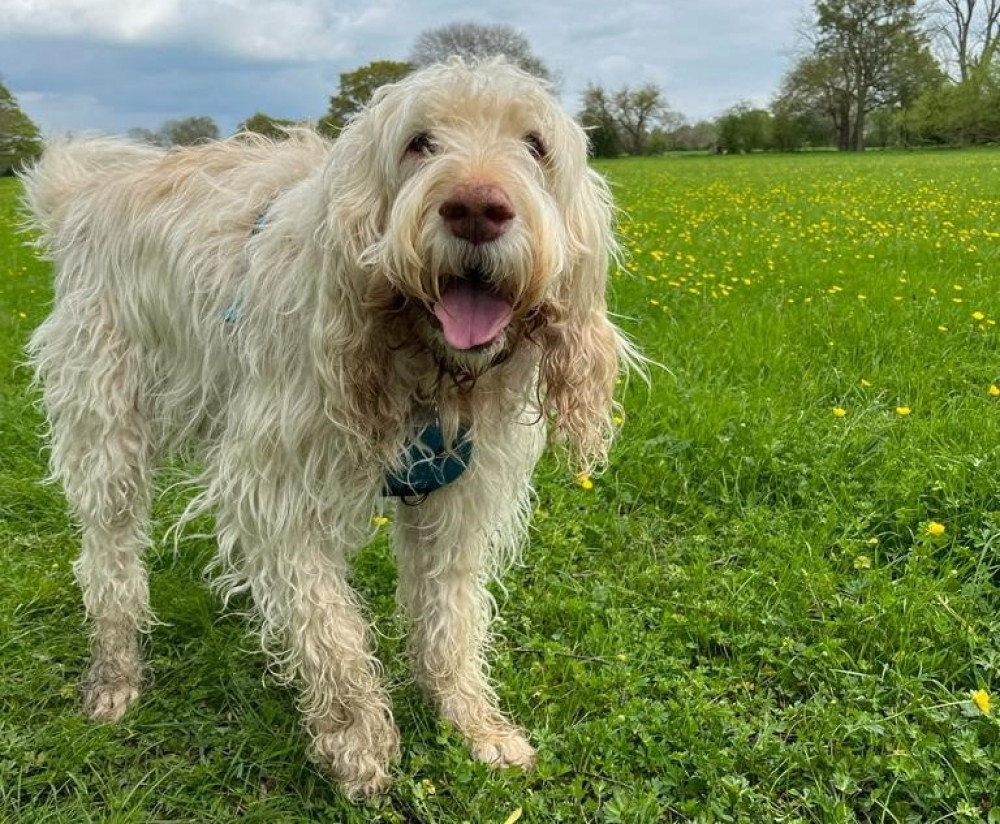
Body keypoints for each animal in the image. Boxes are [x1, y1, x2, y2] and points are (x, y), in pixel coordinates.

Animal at [25, 59, 640, 800]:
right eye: (419, 142)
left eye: (534, 144)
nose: (476, 208)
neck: (420, 366)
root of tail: (87, 192)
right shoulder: (278, 492)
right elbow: (329, 630)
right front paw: (358, 743)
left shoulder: (458, 498)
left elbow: (451, 619)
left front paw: (473, 722)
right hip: (106, 430)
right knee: (108, 561)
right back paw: (115, 676)